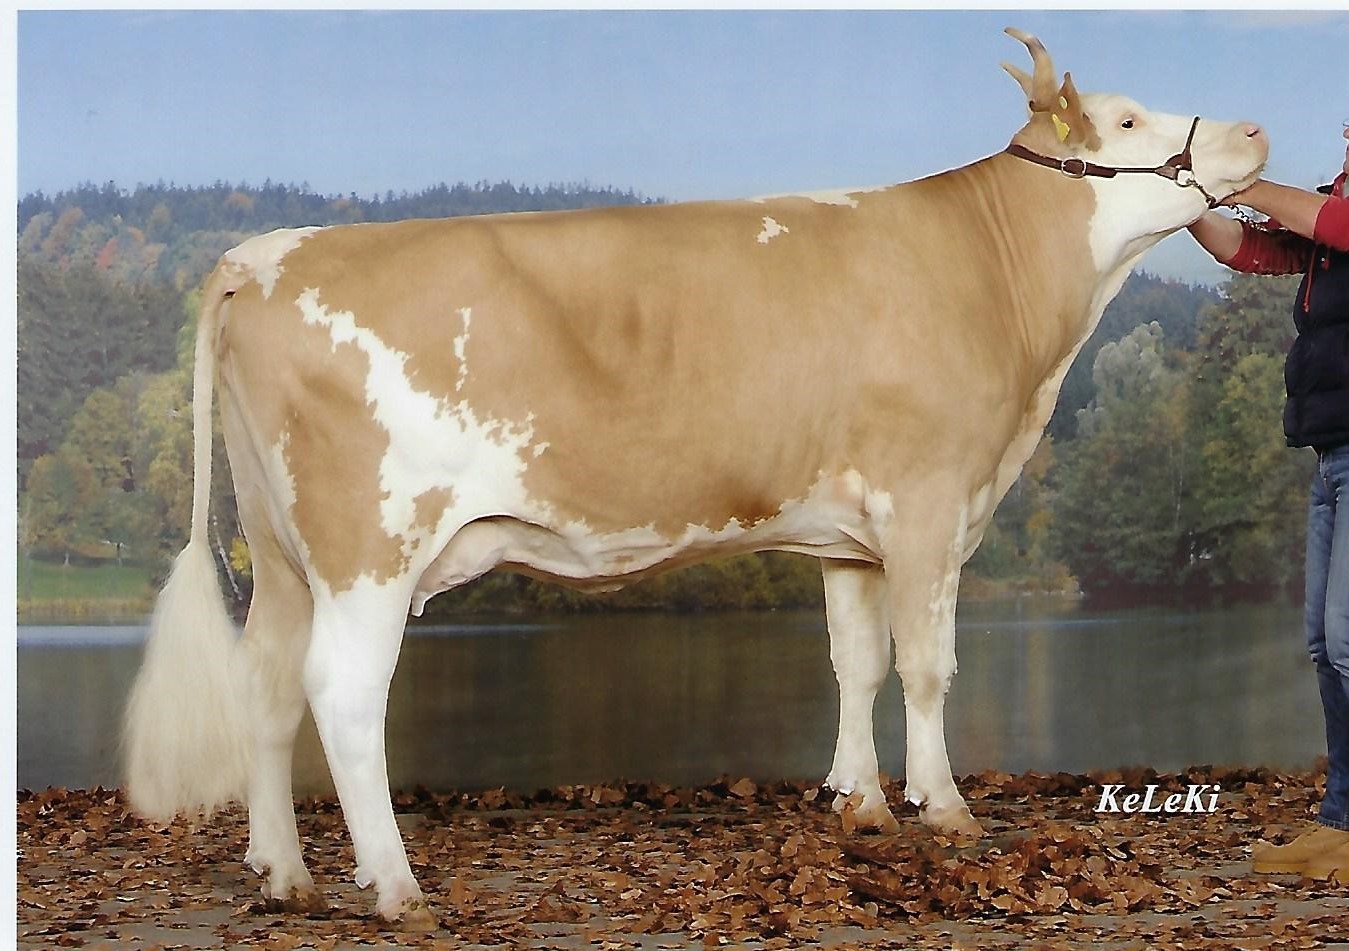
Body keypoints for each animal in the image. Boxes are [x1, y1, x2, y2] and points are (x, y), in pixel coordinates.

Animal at [124, 29, 1267, 931]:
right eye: (1126, 118)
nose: (1255, 133)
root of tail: (263, 253)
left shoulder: (849, 535)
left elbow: (853, 663)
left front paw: (858, 803)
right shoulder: (928, 501)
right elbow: (926, 666)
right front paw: (943, 808)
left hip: (280, 550)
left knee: (267, 684)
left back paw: (284, 875)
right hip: (368, 545)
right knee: (342, 693)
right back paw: (395, 886)